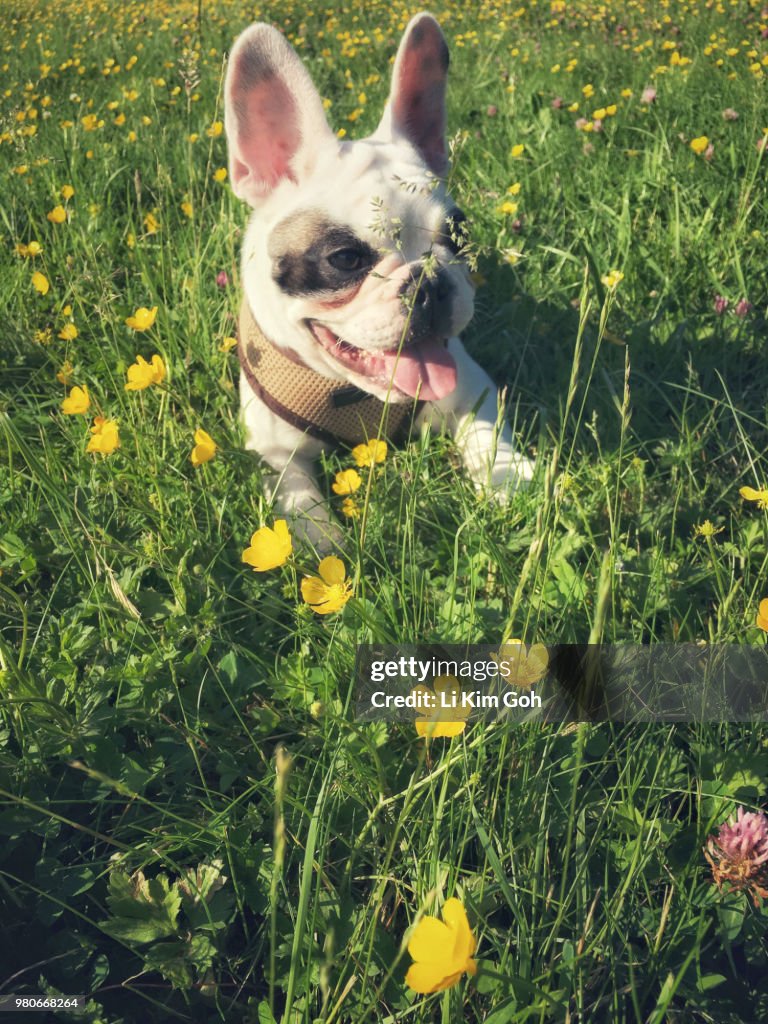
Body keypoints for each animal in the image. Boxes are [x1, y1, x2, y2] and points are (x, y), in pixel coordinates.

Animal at [225, 12, 532, 548]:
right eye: (346, 259)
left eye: (457, 232)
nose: (428, 282)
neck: (352, 393)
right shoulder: (272, 451)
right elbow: (297, 494)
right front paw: (321, 539)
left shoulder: (472, 387)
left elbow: (486, 433)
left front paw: (505, 477)